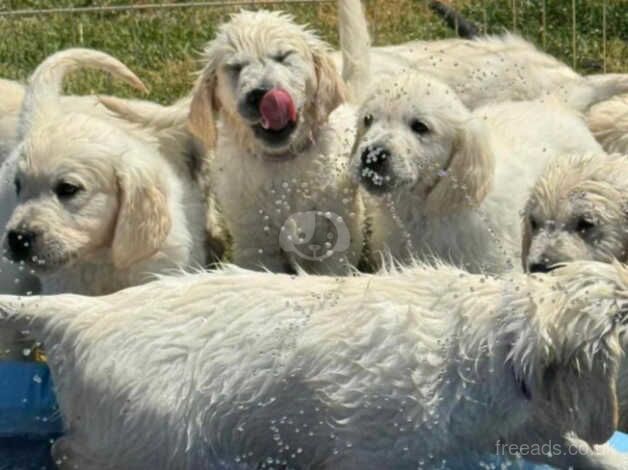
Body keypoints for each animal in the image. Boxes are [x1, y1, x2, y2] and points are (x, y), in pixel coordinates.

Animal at [1, 262, 628, 468]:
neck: (501, 341)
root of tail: (79, 312)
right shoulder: (372, 453)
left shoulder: (515, 424)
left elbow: (582, 448)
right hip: (150, 441)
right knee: (69, 451)